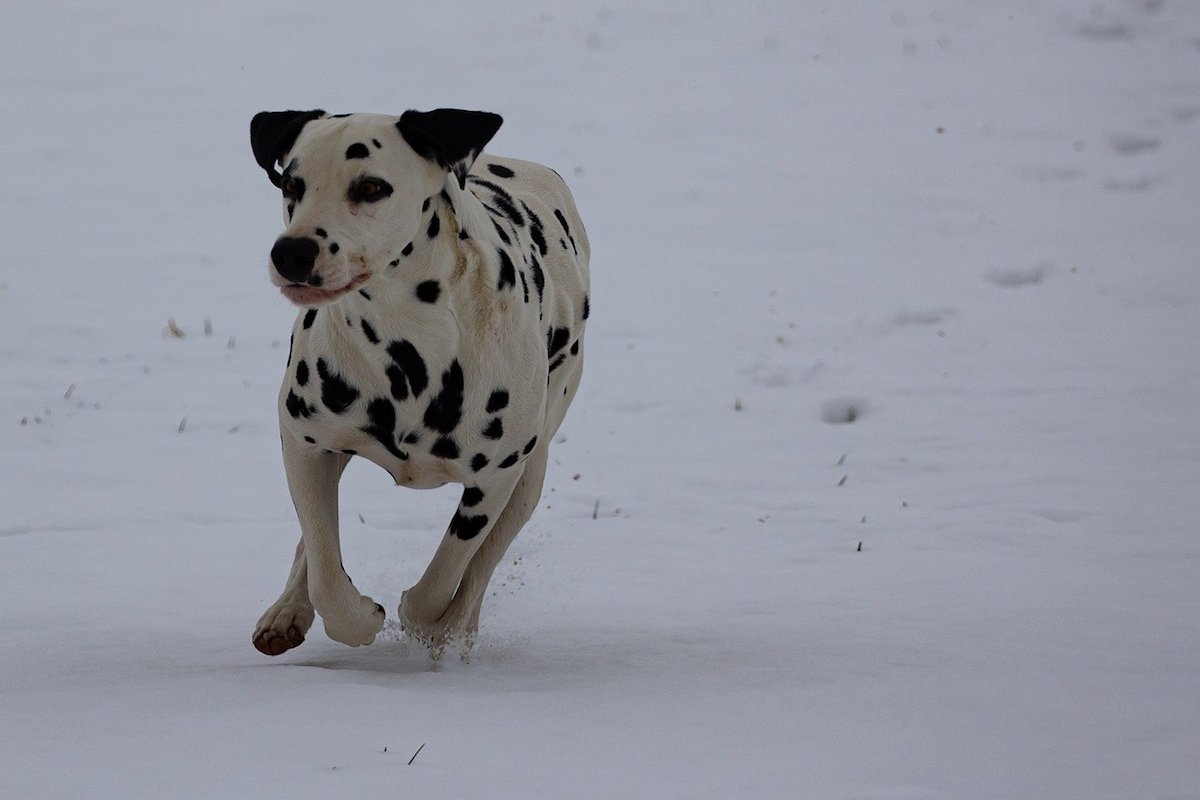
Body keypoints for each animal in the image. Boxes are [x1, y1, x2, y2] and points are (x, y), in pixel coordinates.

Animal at [247, 107, 590, 657]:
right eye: (290, 183)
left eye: (370, 187)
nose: (292, 253)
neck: (406, 347)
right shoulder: (303, 443)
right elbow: (324, 565)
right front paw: (358, 616)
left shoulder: (495, 480)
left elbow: (448, 572)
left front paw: (426, 620)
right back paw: (286, 611)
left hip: (529, 475)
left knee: (483, 565)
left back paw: (459, 629)